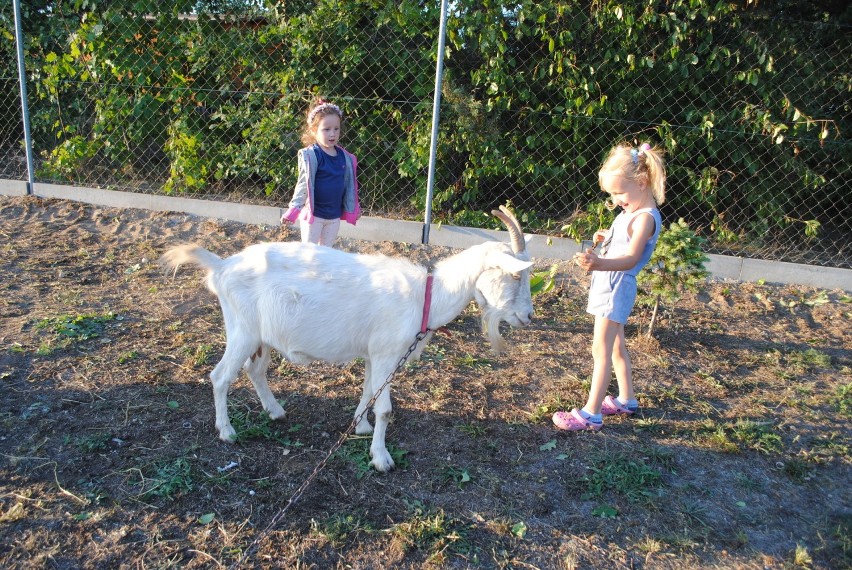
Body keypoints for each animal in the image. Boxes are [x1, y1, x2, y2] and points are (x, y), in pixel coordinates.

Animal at [160, 206, 532, 468]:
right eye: (516, 275)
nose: (528, 316)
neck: (425, 296)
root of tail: (221, 267)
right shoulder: (386, 354)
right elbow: (385, 408)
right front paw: (381, 458)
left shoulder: (373, 355)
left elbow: (368, 391)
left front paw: (360, 427)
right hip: (242, 330)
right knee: (220, 376)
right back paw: (227, 432)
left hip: (261, 336)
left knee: (254, 370)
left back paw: (276, 411)